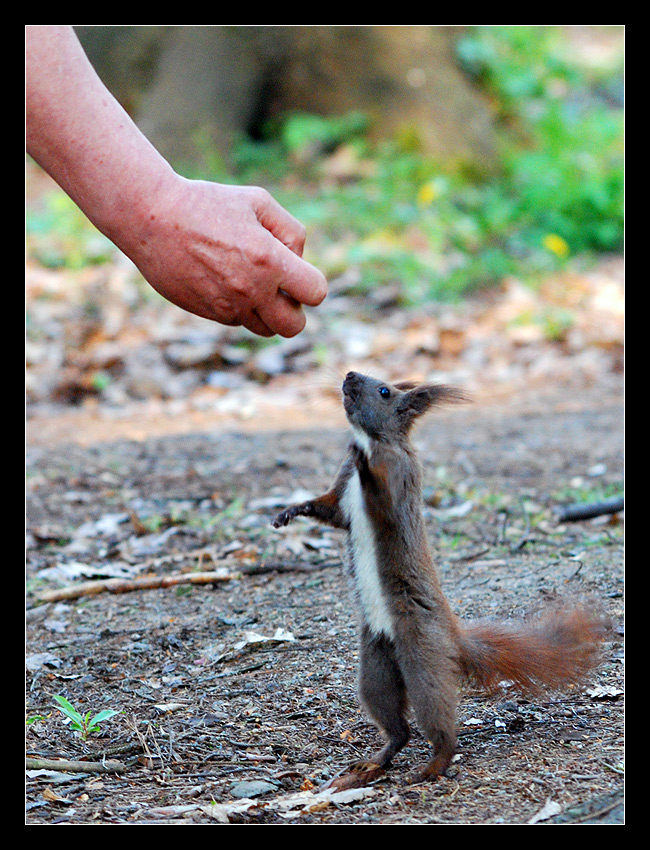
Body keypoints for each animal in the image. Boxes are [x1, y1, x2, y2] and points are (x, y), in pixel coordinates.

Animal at [270, 374, 604, 784]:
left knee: (438, 722)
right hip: (376, 664)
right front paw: (289, 511)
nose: (349, 376)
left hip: (421, 656)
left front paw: (365, 465)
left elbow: (381, 500)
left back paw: (433, 765)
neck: (374, 442)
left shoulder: (399, 479)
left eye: (384, 392)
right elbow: (330, 510)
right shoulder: (342, 491)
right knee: (396, 724)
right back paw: (377, 760)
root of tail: (452, 636)